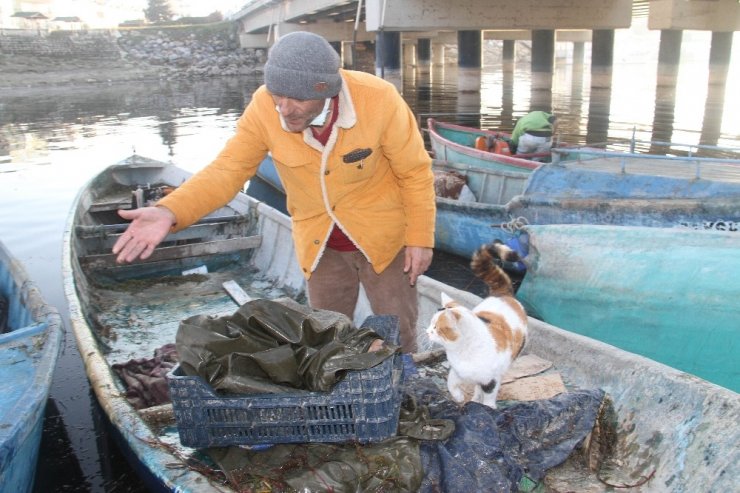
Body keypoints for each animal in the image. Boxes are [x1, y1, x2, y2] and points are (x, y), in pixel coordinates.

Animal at [424, 241, 528, 408]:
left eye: (436, 328)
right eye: (431, 323)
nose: (427, 331)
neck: (462, 353)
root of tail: (503, 294)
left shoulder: (491, 379)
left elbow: (489, 396)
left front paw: (487, 408)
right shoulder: (457, 371)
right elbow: (450, 383)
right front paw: (459, 397)